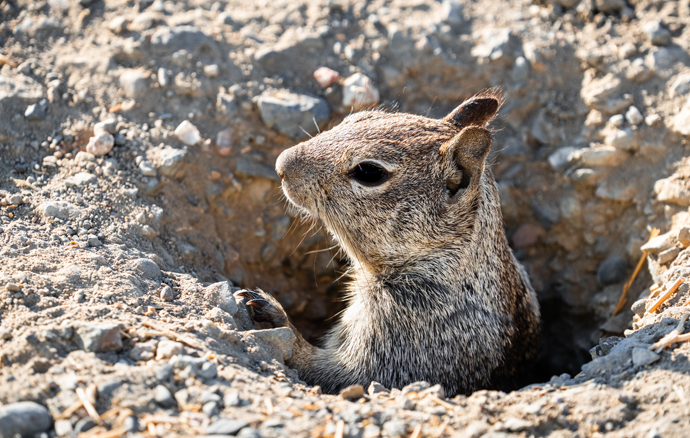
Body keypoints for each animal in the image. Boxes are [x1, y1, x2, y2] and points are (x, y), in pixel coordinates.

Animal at [236, 90, 536, 396]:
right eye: (358, 117)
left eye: (369, 172)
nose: (281, 165)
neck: (443, 260)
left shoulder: (407, 335)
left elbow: (339, 374)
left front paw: (277, 316)